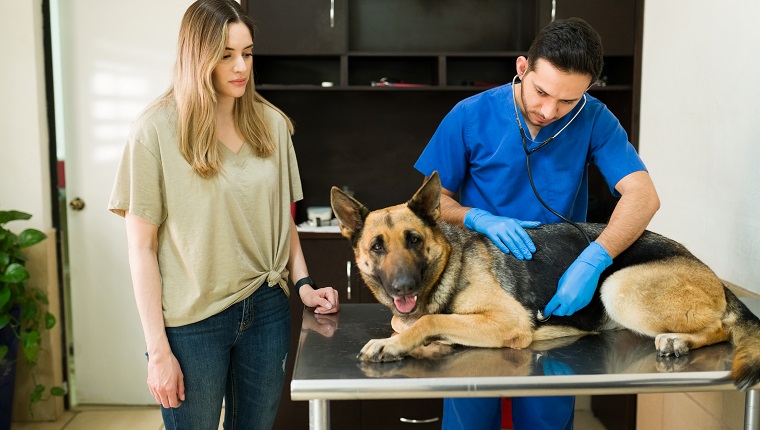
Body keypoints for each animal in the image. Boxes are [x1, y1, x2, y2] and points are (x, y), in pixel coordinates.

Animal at [332, 170, 760, 390]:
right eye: (377, 247)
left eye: (414, 240)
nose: (403, 287)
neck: (450, 263)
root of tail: (711, 273)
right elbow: (409, 320)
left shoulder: (508, 320)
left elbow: (431, 319)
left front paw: (395, 343)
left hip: (617, 287)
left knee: (720, 328)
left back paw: (680, 339)